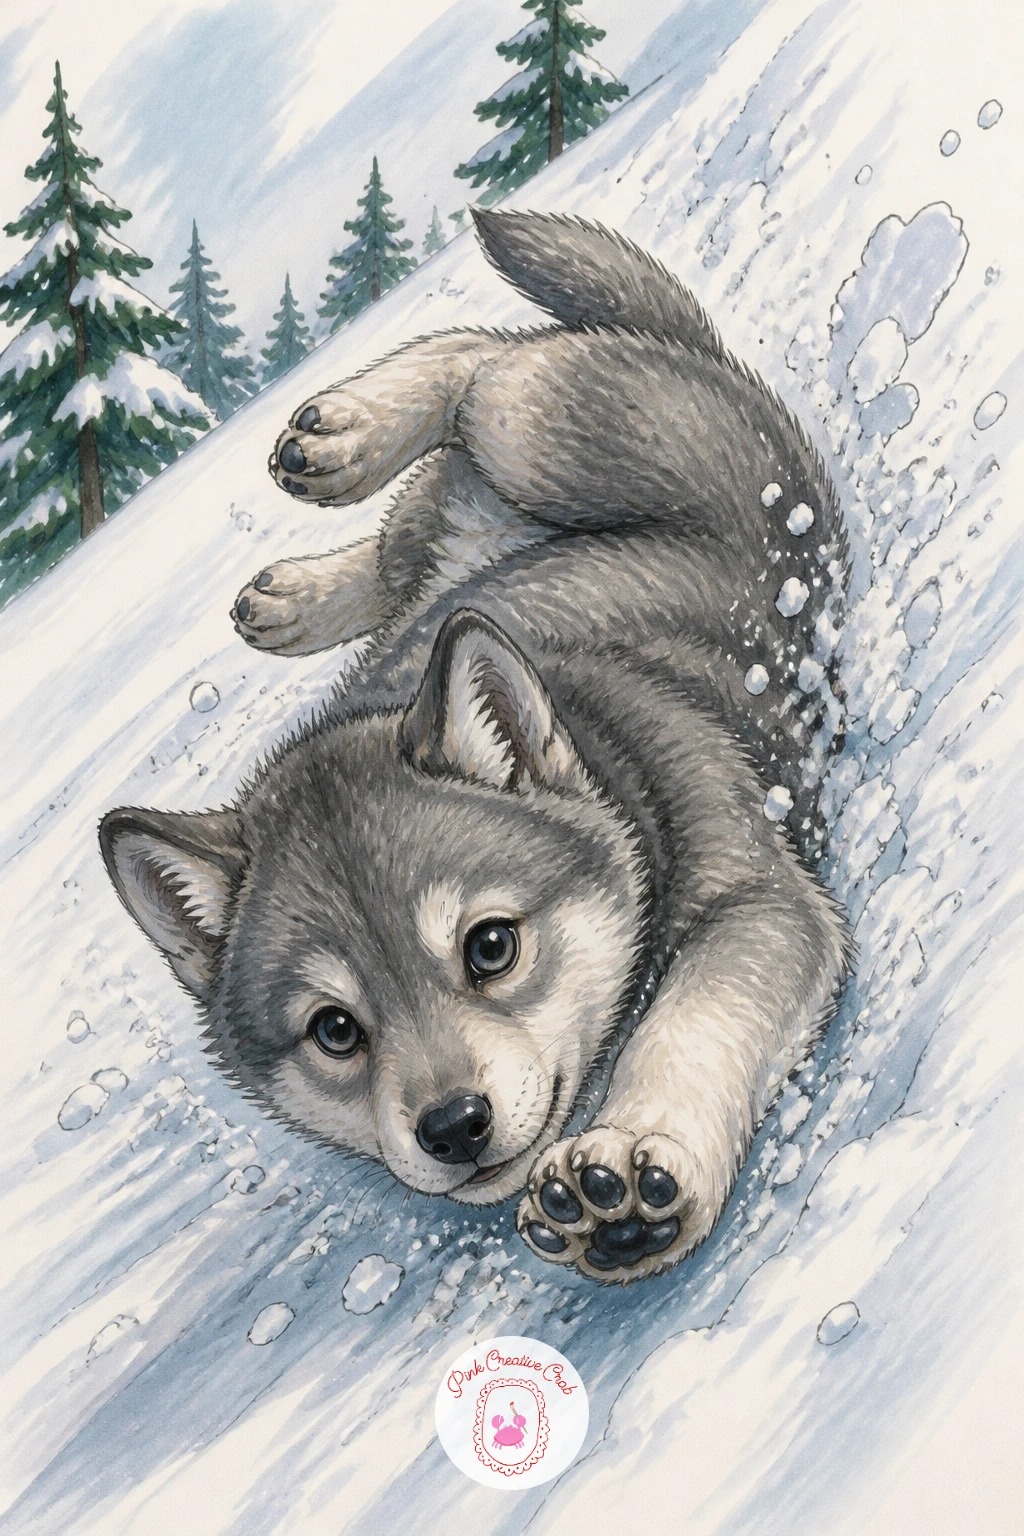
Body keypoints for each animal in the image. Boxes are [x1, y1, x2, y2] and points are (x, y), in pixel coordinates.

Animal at [100, 211, 849, 1283]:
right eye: (336, 1031)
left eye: (491, 948)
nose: (454, 1124)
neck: (613, 775)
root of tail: (703, 352)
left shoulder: (760, 902)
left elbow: (687, 1026)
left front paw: (630, 1172)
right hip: (478, 498)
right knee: (412, 510)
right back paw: (297, 575)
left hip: (538, 431)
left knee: (481, 365)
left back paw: (339, 438)